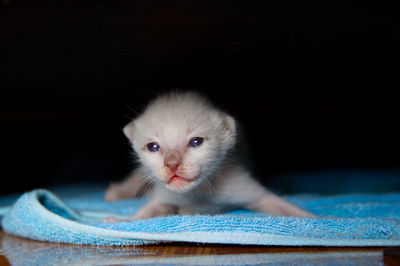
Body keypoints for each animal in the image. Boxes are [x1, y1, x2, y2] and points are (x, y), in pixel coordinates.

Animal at [104, 91, 316, 220]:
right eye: (153, 146)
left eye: (196, 142)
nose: (172, 164)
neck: (199, 193)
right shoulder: (164, 196)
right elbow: (145, 214)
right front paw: (119, 221)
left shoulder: (244, 186)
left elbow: (281, 206)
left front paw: (321, 221)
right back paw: (117, 193)